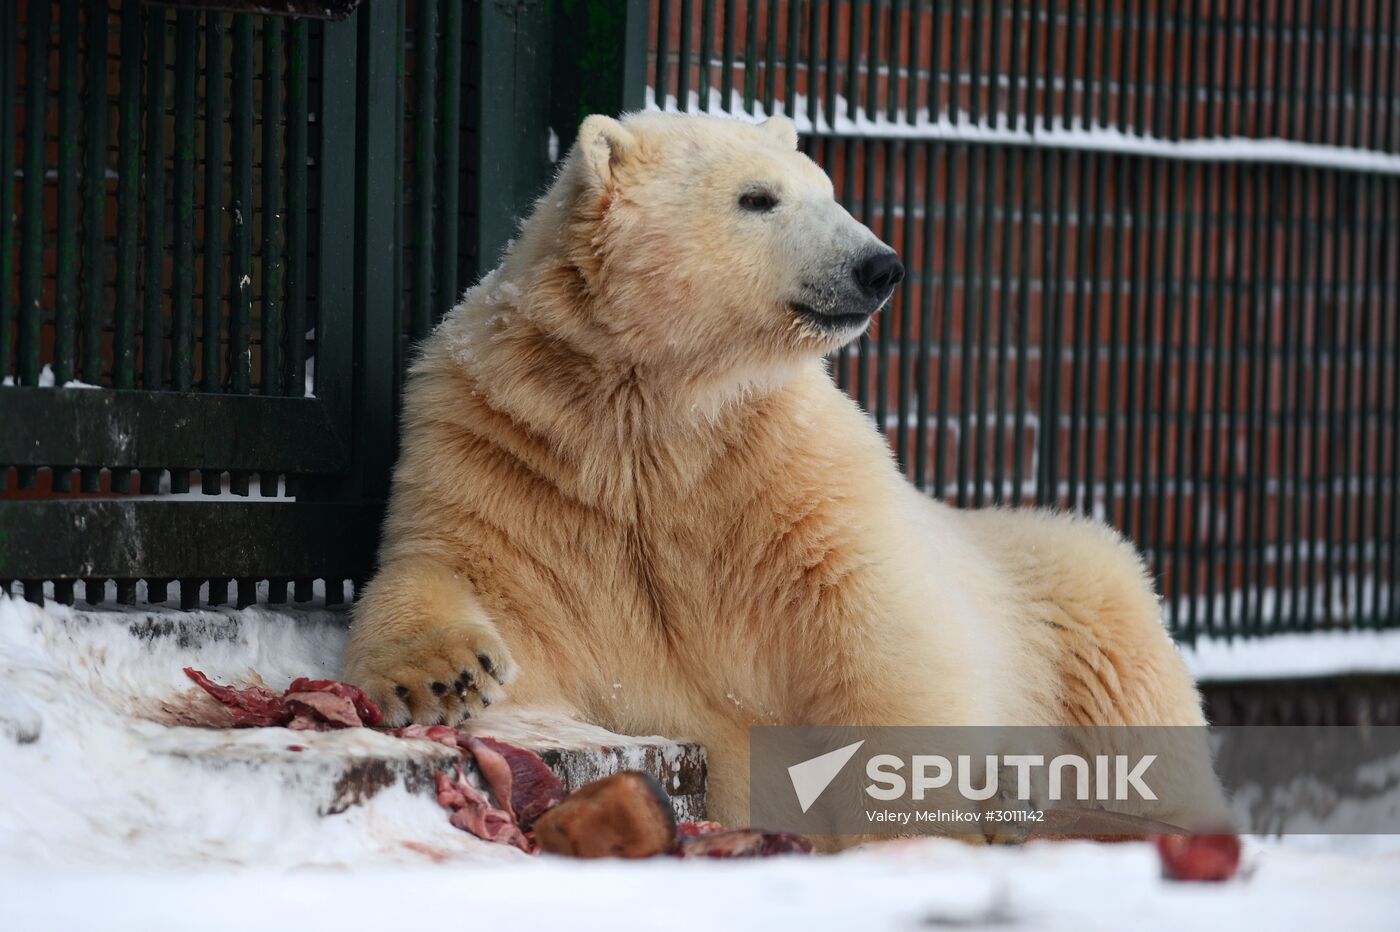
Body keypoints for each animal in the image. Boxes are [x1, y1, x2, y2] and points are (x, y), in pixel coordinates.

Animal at [338, 109, 1215, 828]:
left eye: (826, 189)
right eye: (757, 198)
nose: (880, 265)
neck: (652, 414)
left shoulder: (790, 480)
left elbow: (883, 640)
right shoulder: (516, 451)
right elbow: (469, 570)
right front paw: (448, 675)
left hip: (1086, 617)